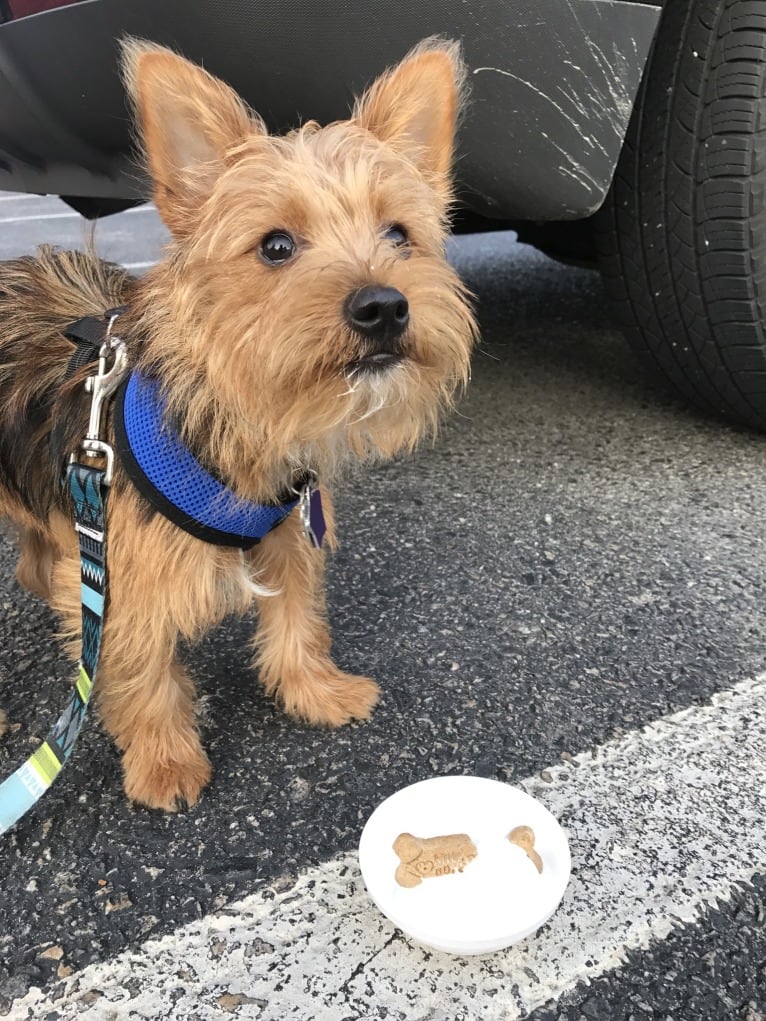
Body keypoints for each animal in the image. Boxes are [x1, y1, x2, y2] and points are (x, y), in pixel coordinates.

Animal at [0, 39, 477, 808]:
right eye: (276, 246)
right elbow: (142, 670)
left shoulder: (289, 534)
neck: (250, 420)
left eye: (399, 234)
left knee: (40, 557)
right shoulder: (127, 577)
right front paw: (165, 760)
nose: (384, 306)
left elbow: (298, 619)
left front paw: (315, 690)